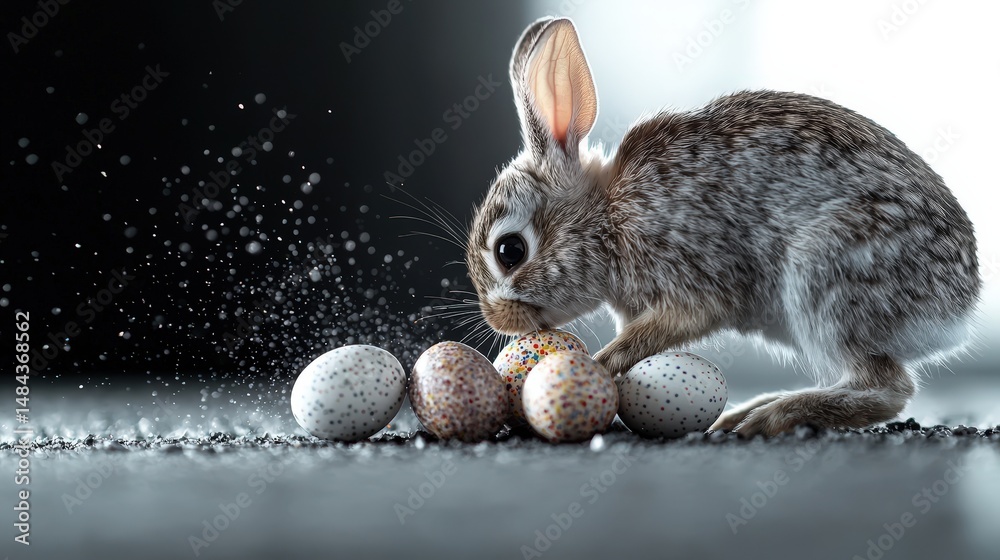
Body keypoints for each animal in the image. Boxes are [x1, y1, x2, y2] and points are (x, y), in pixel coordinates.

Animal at [465, 17, 981, 436]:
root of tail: (959, 309)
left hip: (827, 277)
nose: (499, 321)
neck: (608, 216)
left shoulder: (688, 273)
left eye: (510, 250)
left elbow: (680, 320)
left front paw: (596, 363)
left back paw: (773, 416)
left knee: (887, 388)